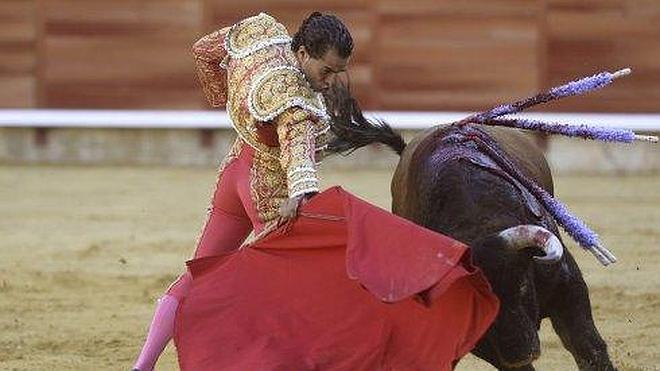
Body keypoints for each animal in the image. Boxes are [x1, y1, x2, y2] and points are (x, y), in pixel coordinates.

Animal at [332, 121, 616, 370]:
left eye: (522, 284)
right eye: (477, 303)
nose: (521, 353)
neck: (480, 222)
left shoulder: (568, 288)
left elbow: (589, 349)